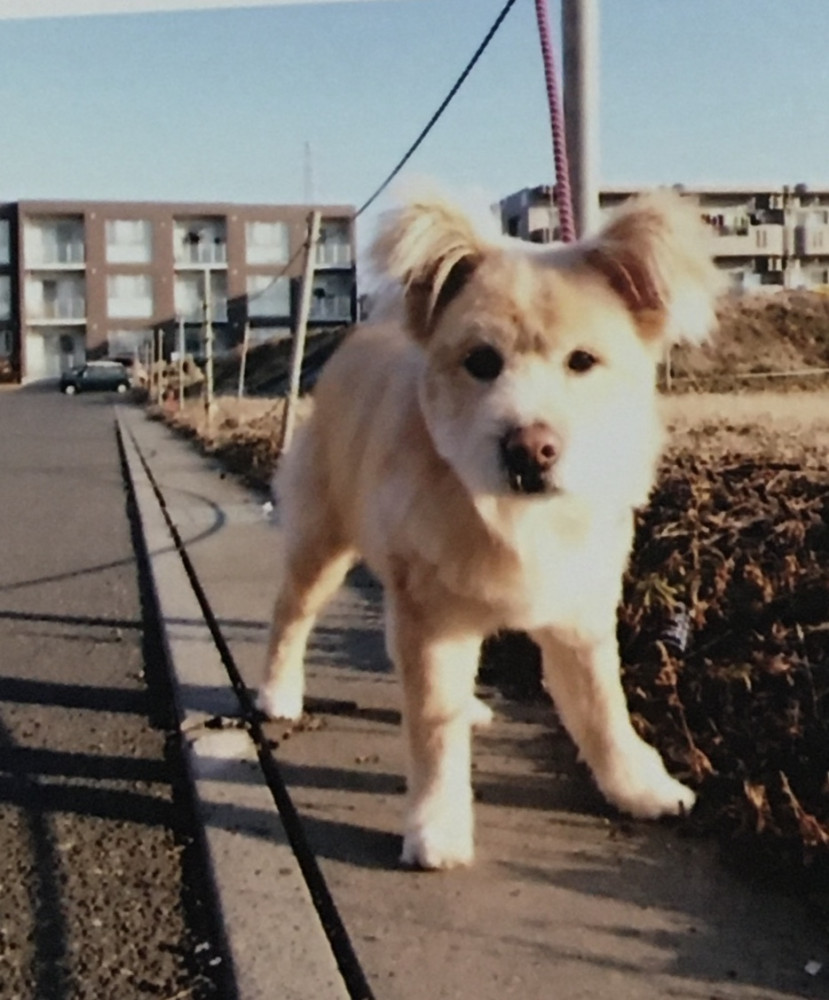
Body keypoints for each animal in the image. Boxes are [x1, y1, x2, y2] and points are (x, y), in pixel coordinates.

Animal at [258, 186, 720, 868]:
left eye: (583, 361)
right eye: (481, 361)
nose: (531, 448)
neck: (514, 516)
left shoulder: (579, 615)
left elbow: (603, 709)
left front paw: (639, 786)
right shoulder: (429, 620)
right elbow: (432, 728)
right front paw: (437, 824)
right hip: (322, 541)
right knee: (291, 614)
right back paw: (278, 692)